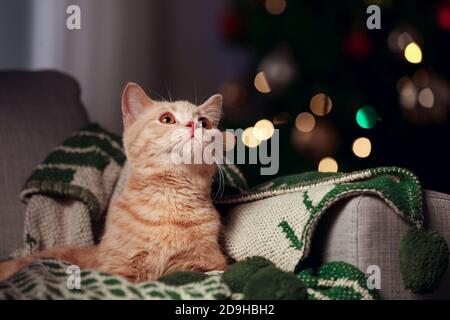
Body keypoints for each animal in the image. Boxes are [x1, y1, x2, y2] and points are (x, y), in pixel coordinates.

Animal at [0, 83, 229, 282]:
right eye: (167, 119)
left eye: (205, 123)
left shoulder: (207, 265)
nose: (194, 125)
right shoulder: (116, 268)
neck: (170, 202)